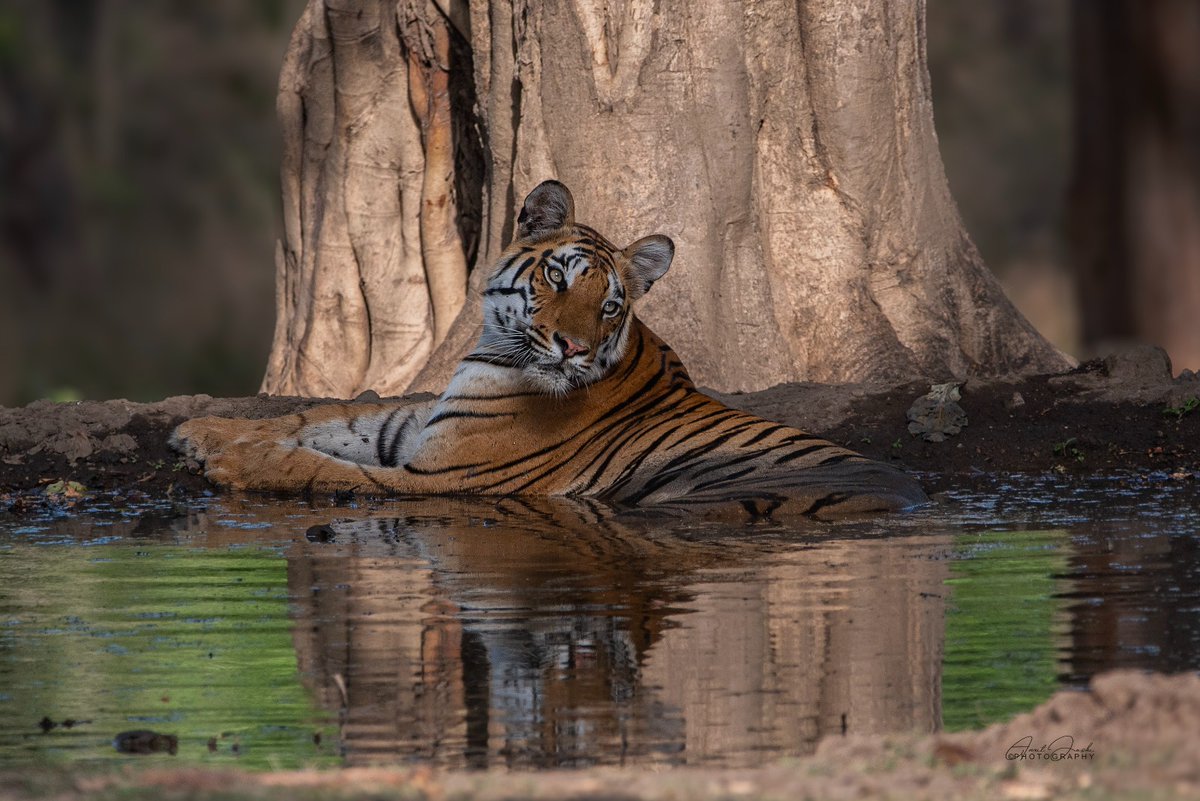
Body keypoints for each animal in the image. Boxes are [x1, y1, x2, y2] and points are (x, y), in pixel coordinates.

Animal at [171, 181, 927, 519]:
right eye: (558, 277)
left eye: (610, 305)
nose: (572, 346)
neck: (491, 354)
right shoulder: (416, 422)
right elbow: (315, 417)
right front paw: (201, 430)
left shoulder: (448, 478)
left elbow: (323, 469)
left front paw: (233, 463)